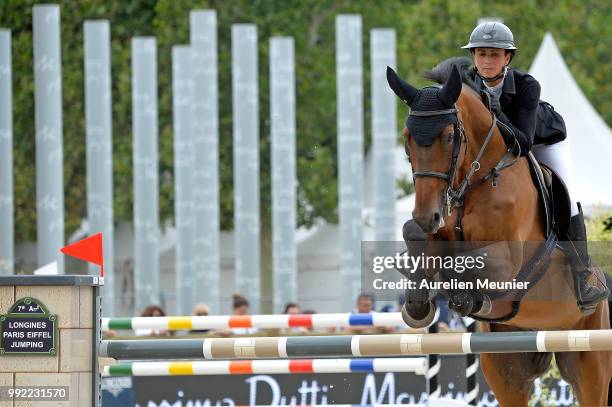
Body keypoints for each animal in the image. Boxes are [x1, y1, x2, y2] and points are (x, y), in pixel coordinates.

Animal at [388, 58, 612, 407]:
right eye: (407, 136)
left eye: (449, 137)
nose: (429, 216)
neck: (474, 182)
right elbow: (415, 236)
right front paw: (418, 304)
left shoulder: (508, 260)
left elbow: (472, 262)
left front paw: (465, 297)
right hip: (506, 370)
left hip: (590, 362)